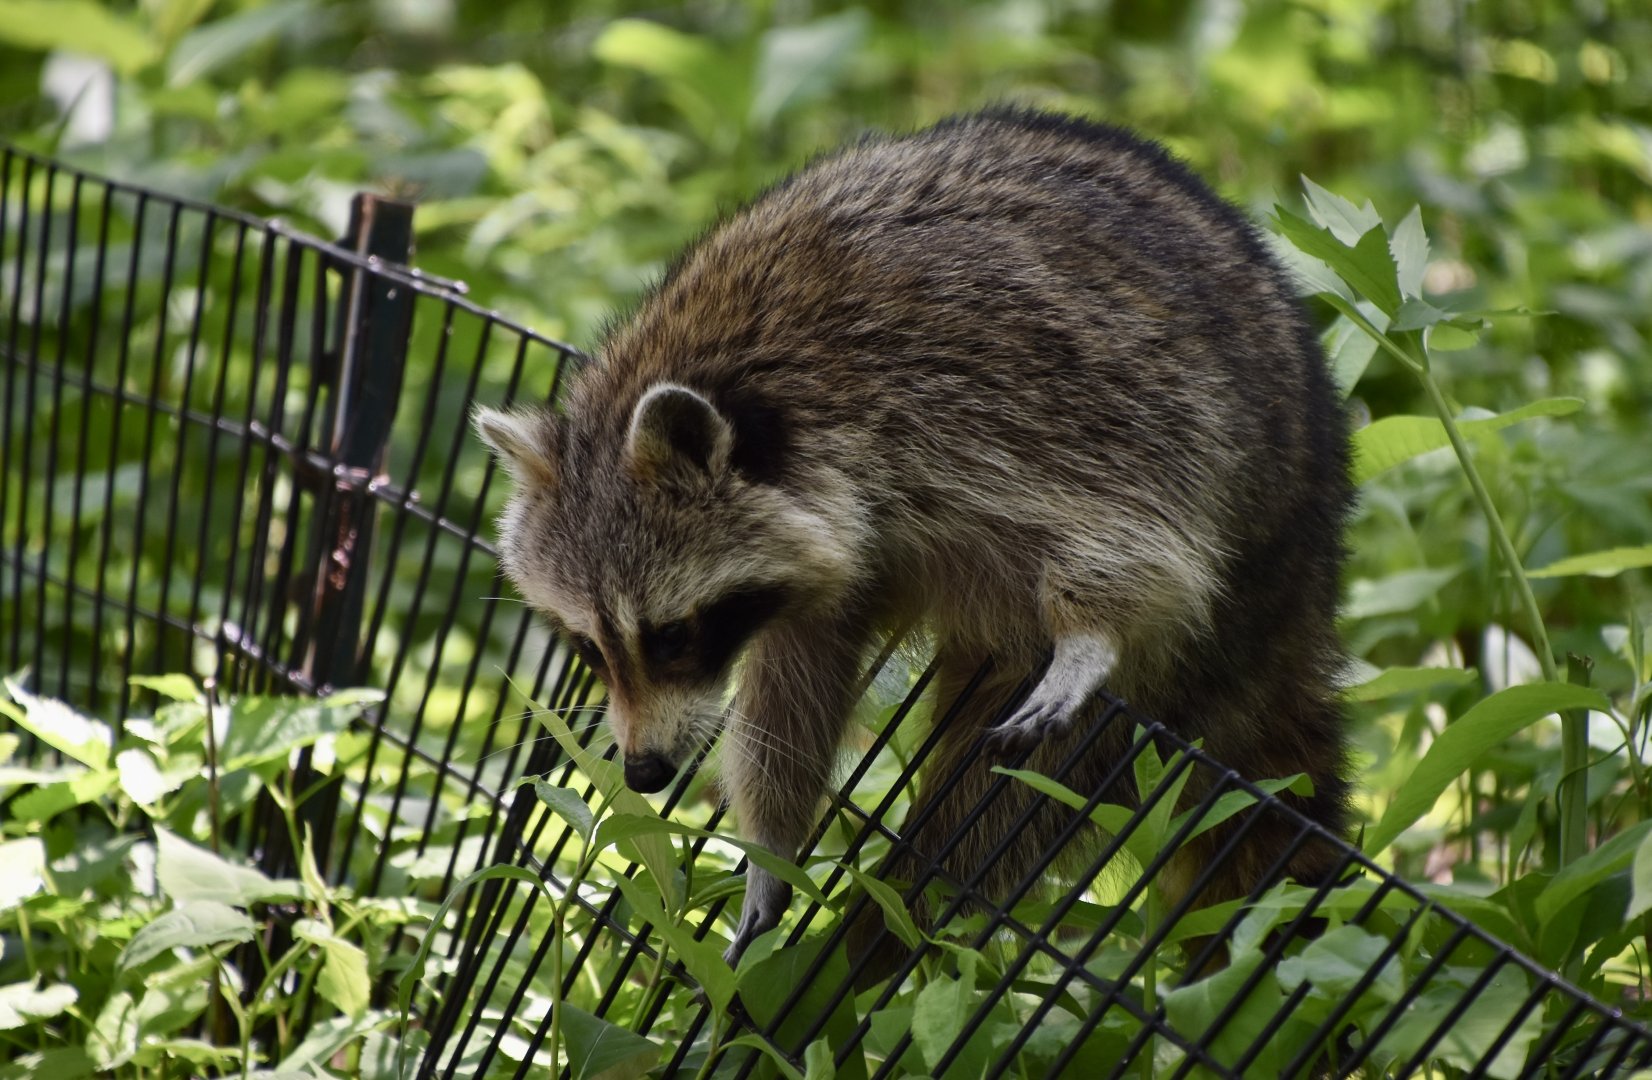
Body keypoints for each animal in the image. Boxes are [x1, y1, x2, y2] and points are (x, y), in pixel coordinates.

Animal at [474, 109, 1353, 971]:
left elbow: (1139, 520)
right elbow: (792, 699)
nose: (645, 771)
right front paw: (770, 850)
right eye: (587, 647)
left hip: (1215, 618)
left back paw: (887, 927)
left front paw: (1091, 629)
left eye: (671, 635)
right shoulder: (814, 577)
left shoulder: (1008, 379)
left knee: (1006, 802)